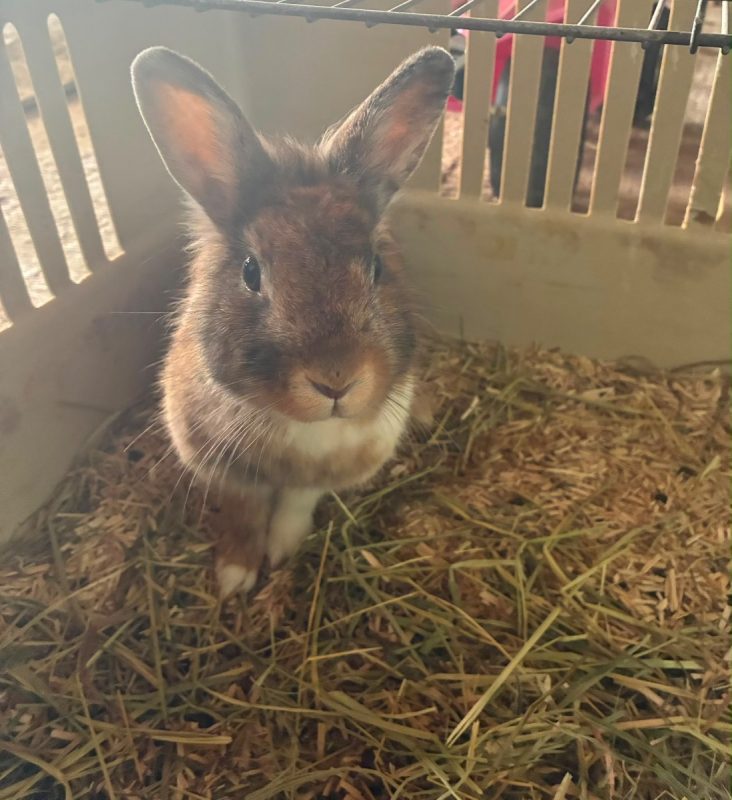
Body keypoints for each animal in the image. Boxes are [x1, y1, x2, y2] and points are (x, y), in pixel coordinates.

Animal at [131, 44, 454, 597]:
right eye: (250, 272)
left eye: (377, 265)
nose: (336, 380)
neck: (300, 427)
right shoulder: (225, 470)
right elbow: (244, 513)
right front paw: (235, 576)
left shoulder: (321, 479)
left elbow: (294, 507)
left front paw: (281, 553)